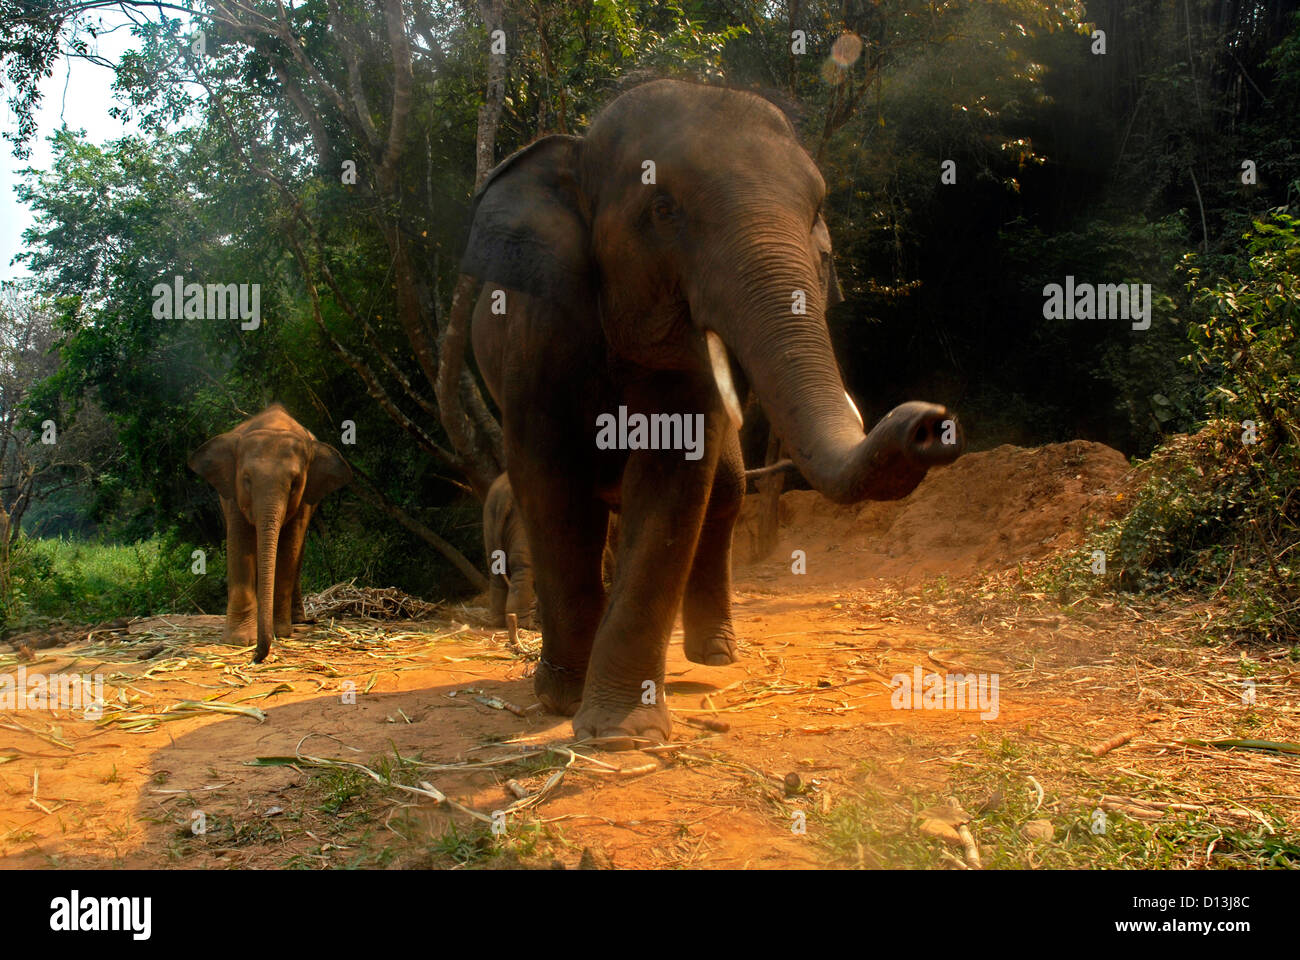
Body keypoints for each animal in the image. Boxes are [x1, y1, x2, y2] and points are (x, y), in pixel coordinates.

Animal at [188, 403, 351, 658]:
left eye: (294, 483)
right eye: (246, 479)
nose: (256, 658)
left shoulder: (305, 496)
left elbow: (289, 547)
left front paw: (279, 633)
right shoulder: (233, 496)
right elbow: (240, 544)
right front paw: (240, 641)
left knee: (298, 552)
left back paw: (296, 621)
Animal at [480, 473, 535, 624]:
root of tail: (503, 495)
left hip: (489, 518)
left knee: (494, 565)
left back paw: (498, 621)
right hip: (521, 522)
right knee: (522, 565)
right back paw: (525, 624)